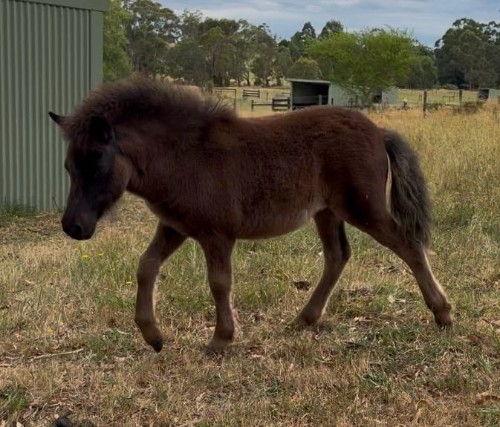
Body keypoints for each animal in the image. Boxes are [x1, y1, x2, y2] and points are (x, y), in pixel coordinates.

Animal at [47, 78, 454, 352]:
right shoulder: (174, 226)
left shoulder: (217, 234)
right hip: (327, 211)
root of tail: (379, 131)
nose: (73, 226)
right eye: (67, 167)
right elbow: (146, 267)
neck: (184, 157)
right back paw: (303, 319)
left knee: (408, 245)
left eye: (96, 164)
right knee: (338, 255)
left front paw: (220, 340)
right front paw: (153, 336)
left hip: (363, 207)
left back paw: (443, 314)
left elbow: (219, 283)